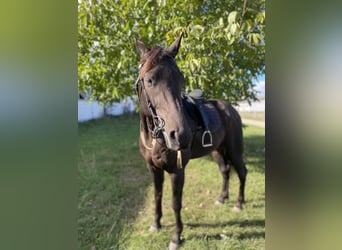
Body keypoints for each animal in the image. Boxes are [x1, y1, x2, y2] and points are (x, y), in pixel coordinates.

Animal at [134, 33, 246, 250]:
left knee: (242, 172)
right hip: (217, 151)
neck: (154, 137)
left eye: (181, 79)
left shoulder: (177, 171)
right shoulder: (153, 169)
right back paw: (222, 199)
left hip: (235, 150)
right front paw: (156, 224)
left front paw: (176, 237)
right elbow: (157, 196)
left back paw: (238, 204)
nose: (181, 135)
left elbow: (176, 203)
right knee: (225, 171)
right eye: (150, 80)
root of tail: (231, 109)